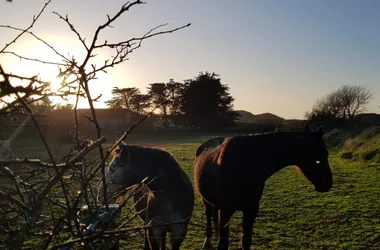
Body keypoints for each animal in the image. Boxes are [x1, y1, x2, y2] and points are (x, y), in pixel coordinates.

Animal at [194, 123, 334, 250]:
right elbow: (223, 243)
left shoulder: (251, 209)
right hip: (206, 201)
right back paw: (207, 241)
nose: (327, 184)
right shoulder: (225, 210)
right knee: (208, 215)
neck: (243, 165)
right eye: (319, 157)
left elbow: (246, 240)